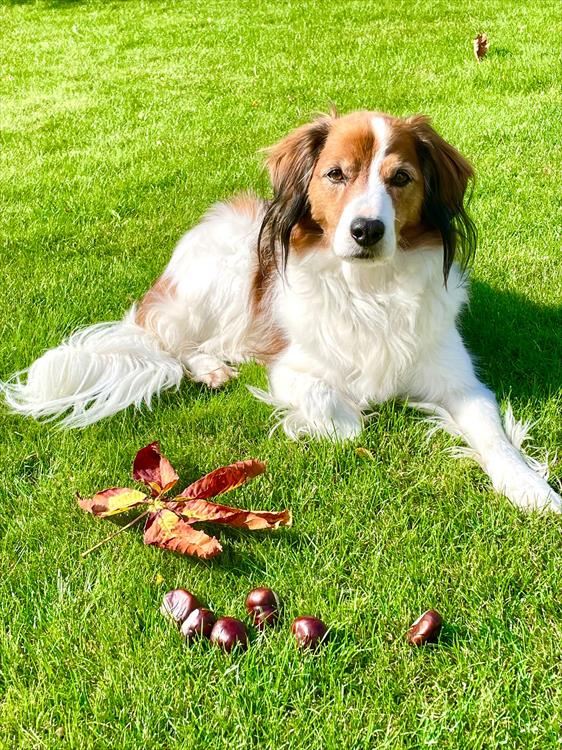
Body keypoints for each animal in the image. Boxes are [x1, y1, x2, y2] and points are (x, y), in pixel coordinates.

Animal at [3, 109, 560, 513]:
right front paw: (339, 417)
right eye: (336, 174)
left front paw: (532, 487)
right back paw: (209, 367)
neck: (370, 288)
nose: (366, 230)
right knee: (177, 343)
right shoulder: (291, 367)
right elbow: (341, 414)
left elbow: (494, 436)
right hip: (229, 264)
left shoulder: (462, 382)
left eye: (400, 178)